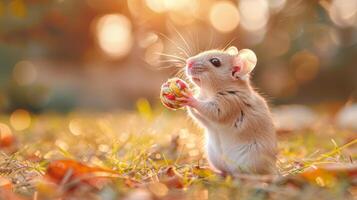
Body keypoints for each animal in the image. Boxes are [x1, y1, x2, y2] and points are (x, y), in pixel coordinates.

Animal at [179, 46, 276, 174]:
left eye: (215, 62)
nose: (188, 62)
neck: (209, 92)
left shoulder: (227, 104)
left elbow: (209, 110)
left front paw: (190, 98)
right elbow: (198, 116)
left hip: (251, 160)